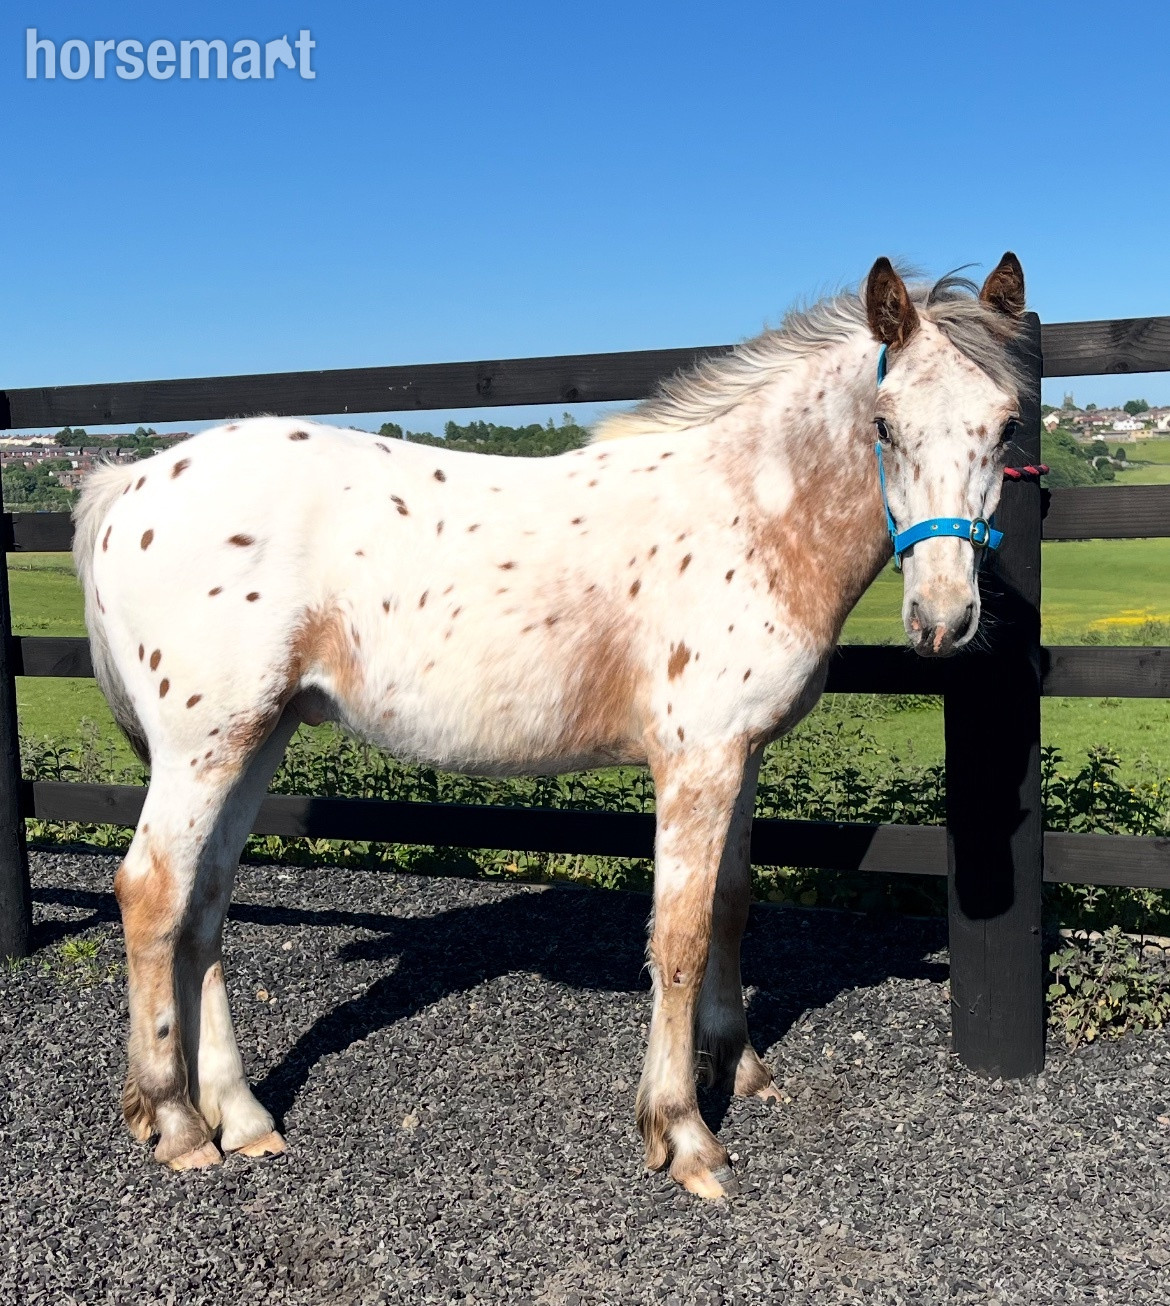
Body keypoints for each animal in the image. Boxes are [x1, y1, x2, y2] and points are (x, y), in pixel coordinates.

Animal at [73, 253, 1028, 1198]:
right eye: (885, 424)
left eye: (1008, 426)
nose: (944, 619)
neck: (750, 516)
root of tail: (131, 484)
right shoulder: (696, 763)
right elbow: (677, 936)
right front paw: (683, 1133)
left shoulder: (742, 759)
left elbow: (730, 907)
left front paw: (740, 1066)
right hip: (202, 749)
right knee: (152, 893)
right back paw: (174, 1122)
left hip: (256, 740)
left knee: (203, 906)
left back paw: (242, 1119)